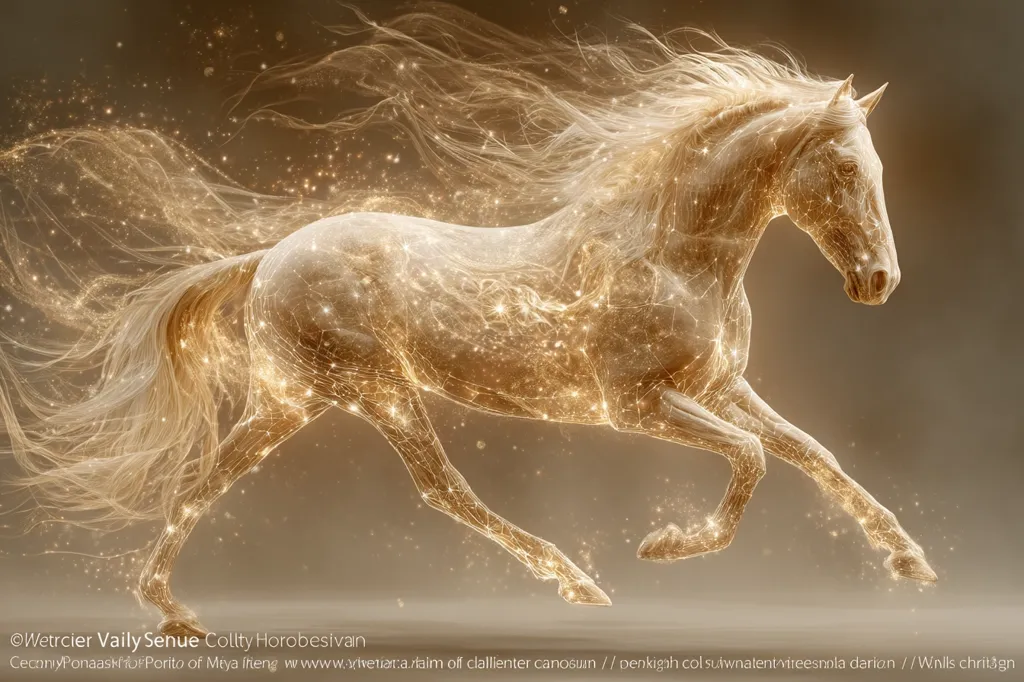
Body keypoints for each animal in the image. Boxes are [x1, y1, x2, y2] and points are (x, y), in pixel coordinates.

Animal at [0, 12, 935, 638]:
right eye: (845, 168)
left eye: (880, 167)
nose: (880, 281)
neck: (671, 253)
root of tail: (270, 257)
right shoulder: (636, 404)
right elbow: (750, 461)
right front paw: (667, 545)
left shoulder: (722, 385)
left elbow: (812, 452)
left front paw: (910, 560)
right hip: (372, 390)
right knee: (441, 488)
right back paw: (578, 581)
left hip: (293, 400)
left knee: (208, 479)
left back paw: (171, 610)